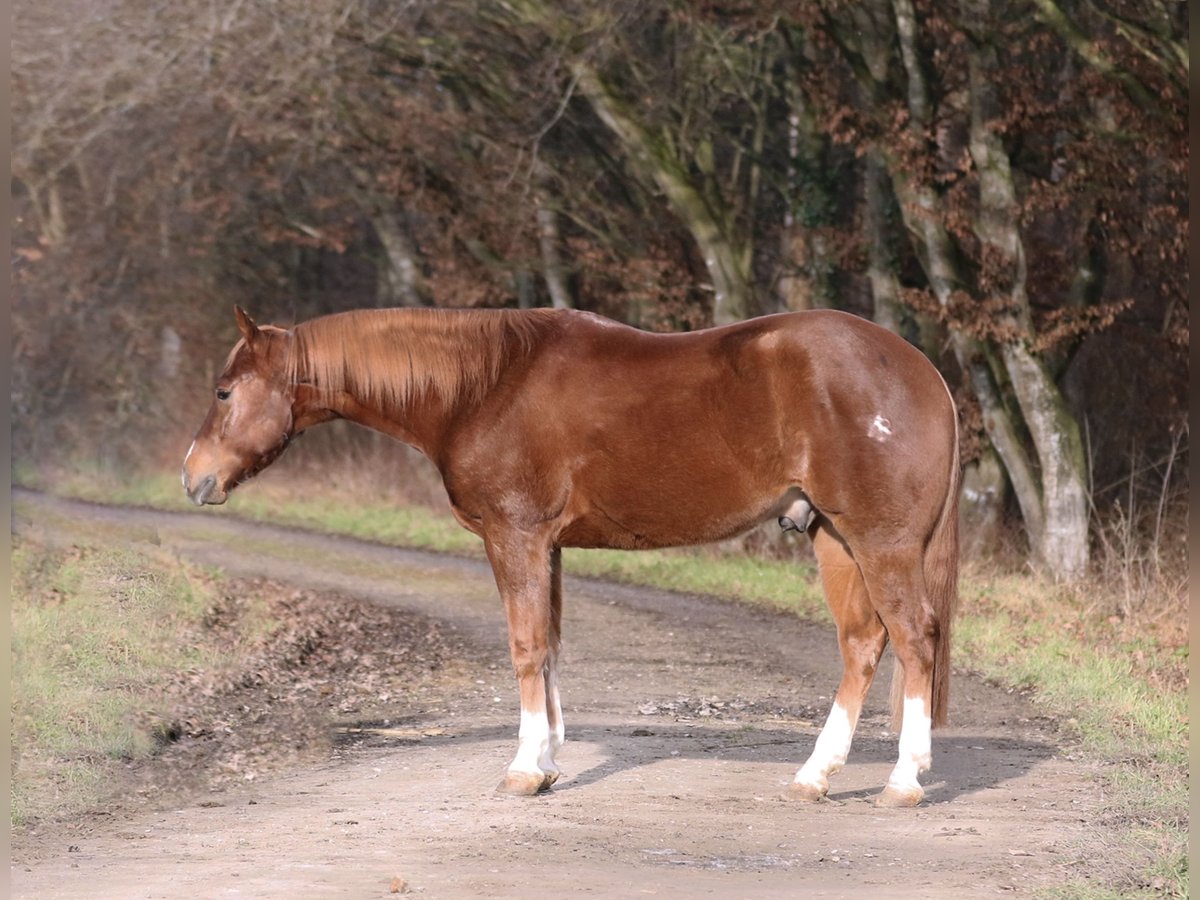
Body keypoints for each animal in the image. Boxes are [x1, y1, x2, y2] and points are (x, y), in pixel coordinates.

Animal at [182, 307, 960, 806]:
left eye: (224, 390)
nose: (194, 478)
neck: (486, 385)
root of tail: (925, 372)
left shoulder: (515, 536)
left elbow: (526, 647)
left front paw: (526, 769)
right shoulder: (546, 545)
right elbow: (551, 646)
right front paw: (550, 760)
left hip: (880, 542)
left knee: (914, 637)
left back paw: (903, 781)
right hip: (834, 539)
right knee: (863, 645)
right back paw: (815, 776)